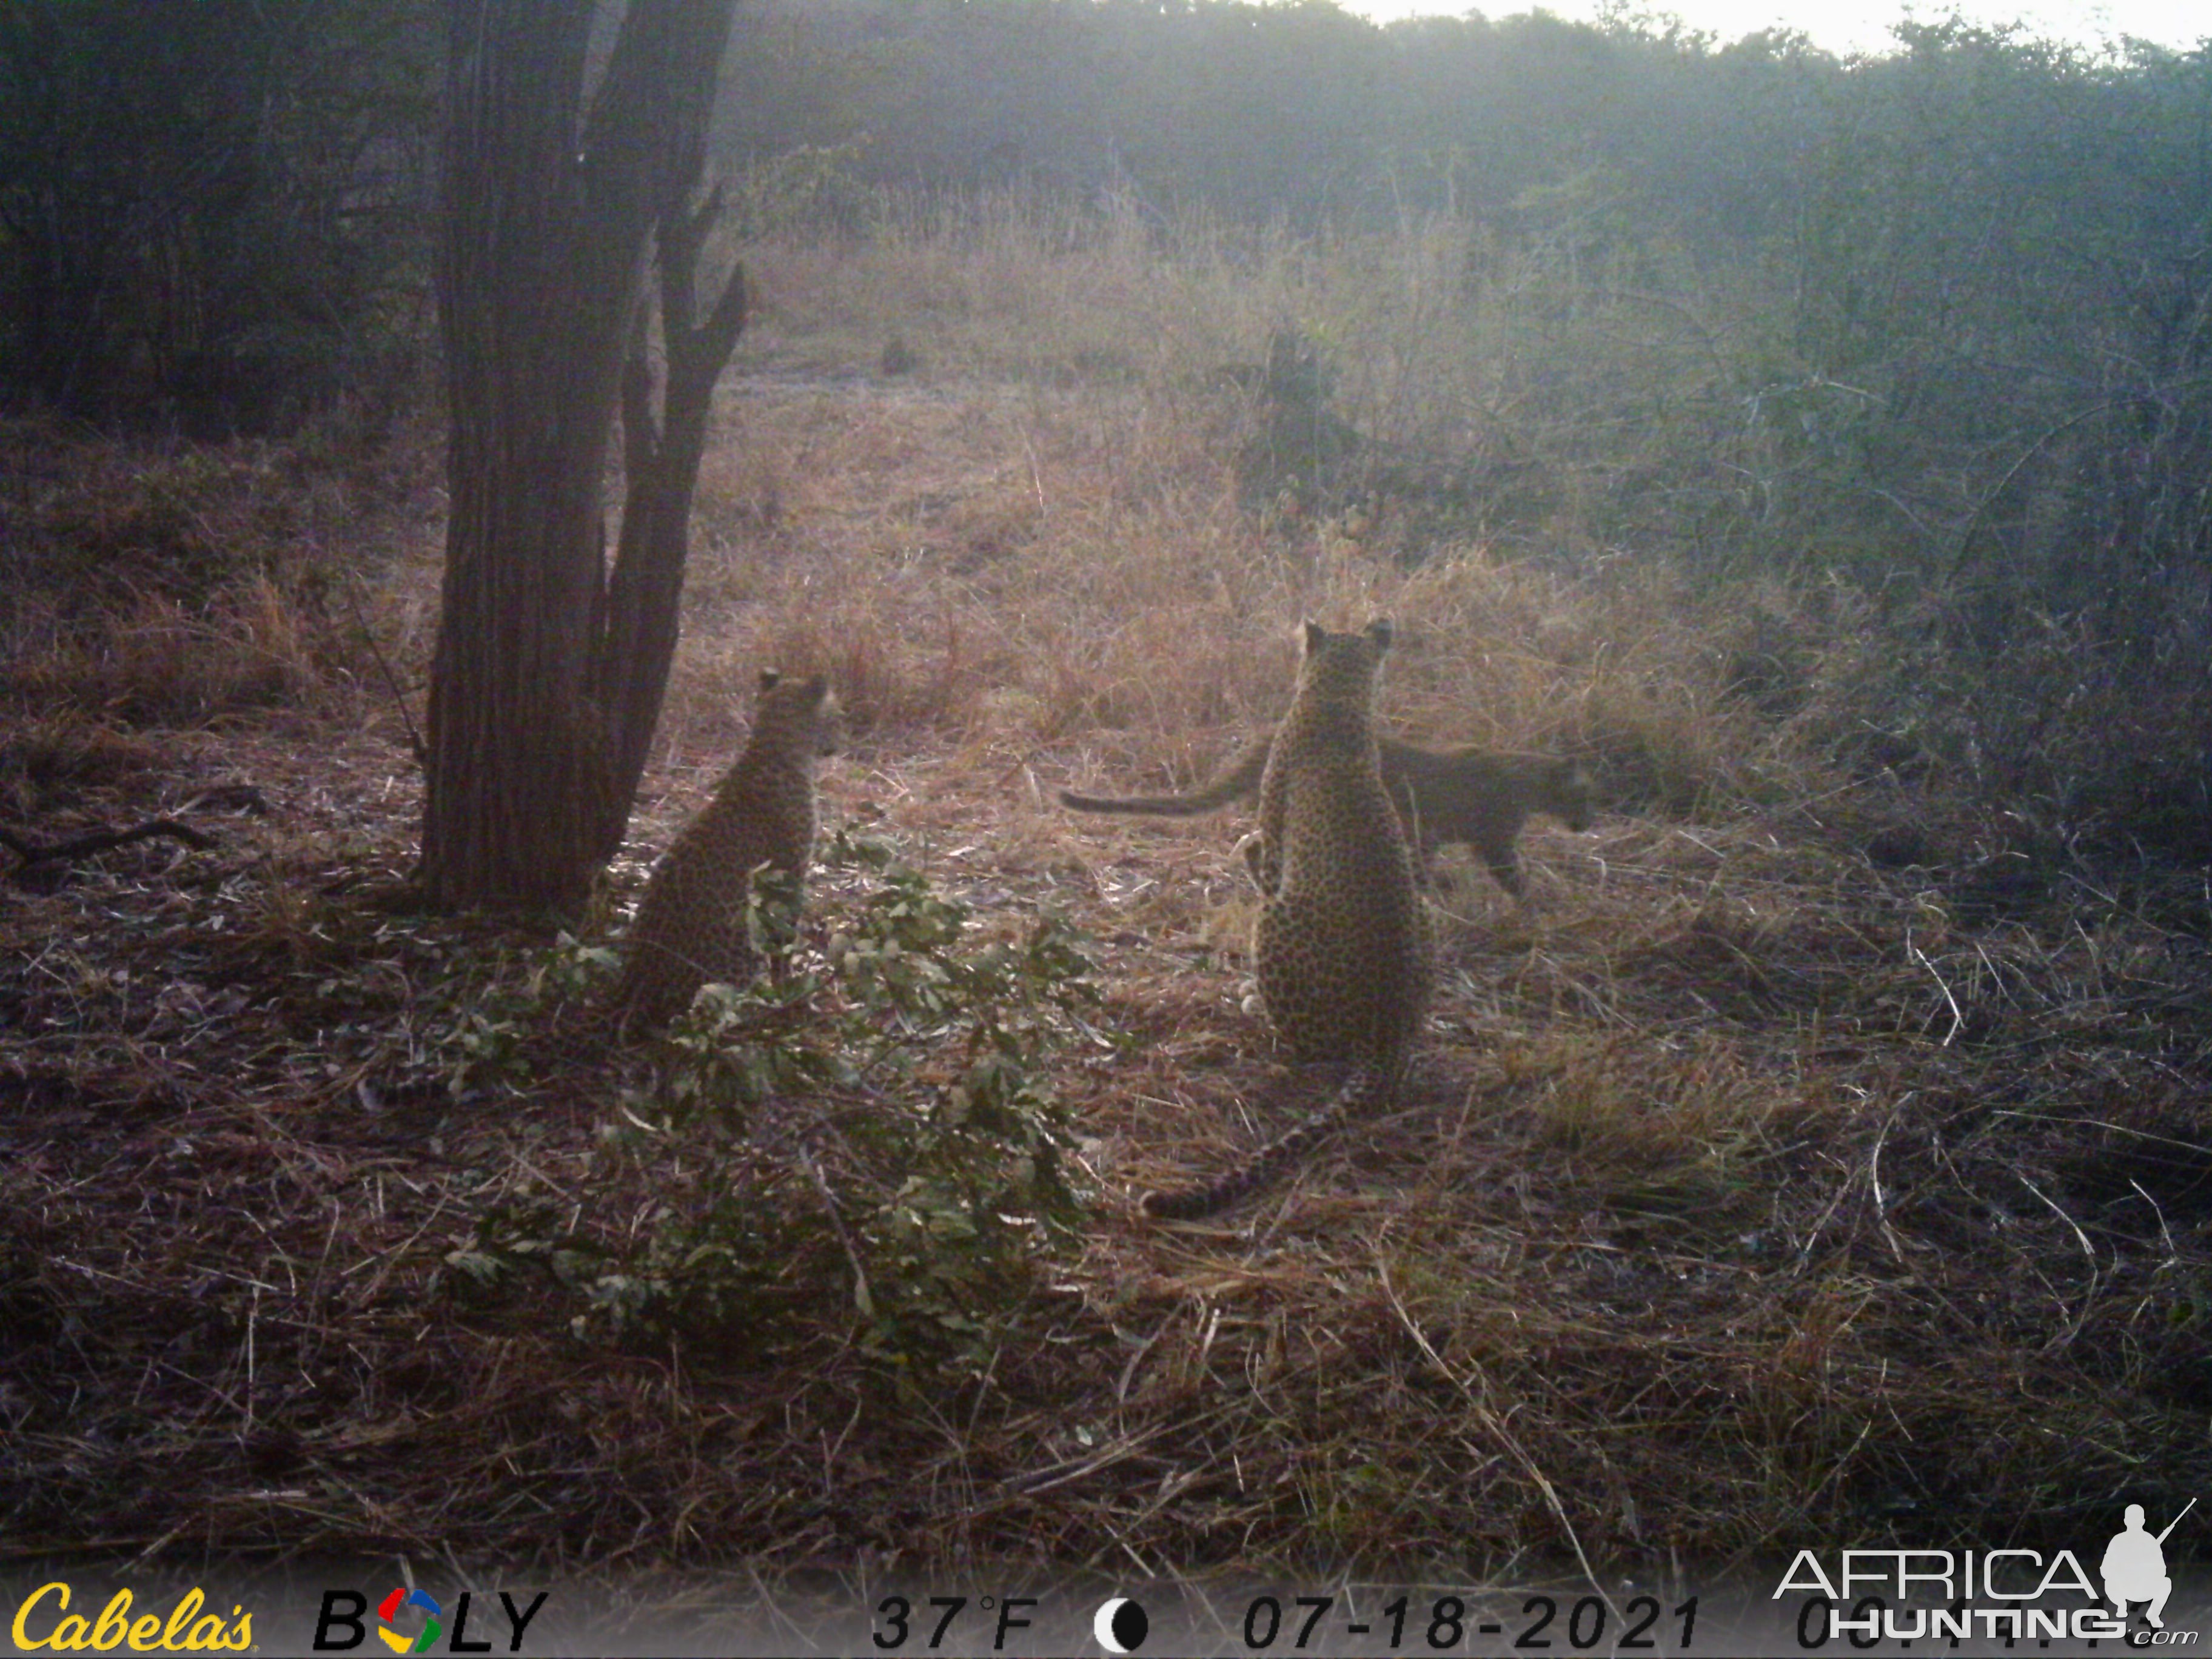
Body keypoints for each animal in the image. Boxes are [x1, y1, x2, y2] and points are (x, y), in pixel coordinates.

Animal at [615, 668, 836, 1035]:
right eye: (838, 716)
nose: (838, 744)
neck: (771, 746)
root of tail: (633, 986)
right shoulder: (789, 875)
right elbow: (784, 941)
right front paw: (789, 991)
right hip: (741, 938)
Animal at [1057, 734, 1592, 902]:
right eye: (1585, 797)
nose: (1589, 822)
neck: (1529, 778)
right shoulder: (1493, 841)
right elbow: (1513, 879)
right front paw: (1537, 905)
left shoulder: (1428, 832)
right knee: (1258, 846)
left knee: (1251, 843)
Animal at [1141, 623, 1433, 1221]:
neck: (1337, 696)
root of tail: (1387, 1034)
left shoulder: (1278, 849)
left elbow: (1259, 856)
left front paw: (1244, 847)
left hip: (1277, 922)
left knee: (1305, 1043)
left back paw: (1255, 1002)